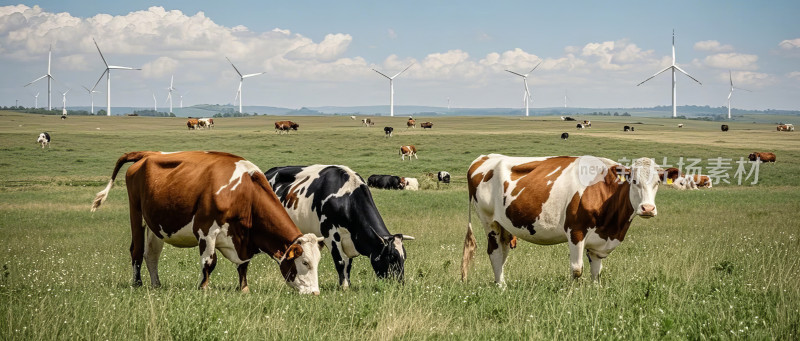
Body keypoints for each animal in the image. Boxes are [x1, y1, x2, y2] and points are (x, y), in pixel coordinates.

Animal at [268, 165, 418, 286]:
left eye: (404, 257)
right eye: (391, 257)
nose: (400, 283)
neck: (346, 200)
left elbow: (348, 264)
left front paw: (348, 285)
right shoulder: (330, 235)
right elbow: (340, 262)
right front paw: (343, 287)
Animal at [462, 153, 664, 282]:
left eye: (657, 182)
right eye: (634, 181)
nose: (647, 208)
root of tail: (484, 158)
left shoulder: (598, 240)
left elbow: (596, 271)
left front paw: (595, 292)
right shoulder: (576, 231)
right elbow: (577, 269)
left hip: (504, 225)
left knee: (503, 252)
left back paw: (502, 283)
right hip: (490, 221)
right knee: (495, 253)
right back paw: (501, 287)